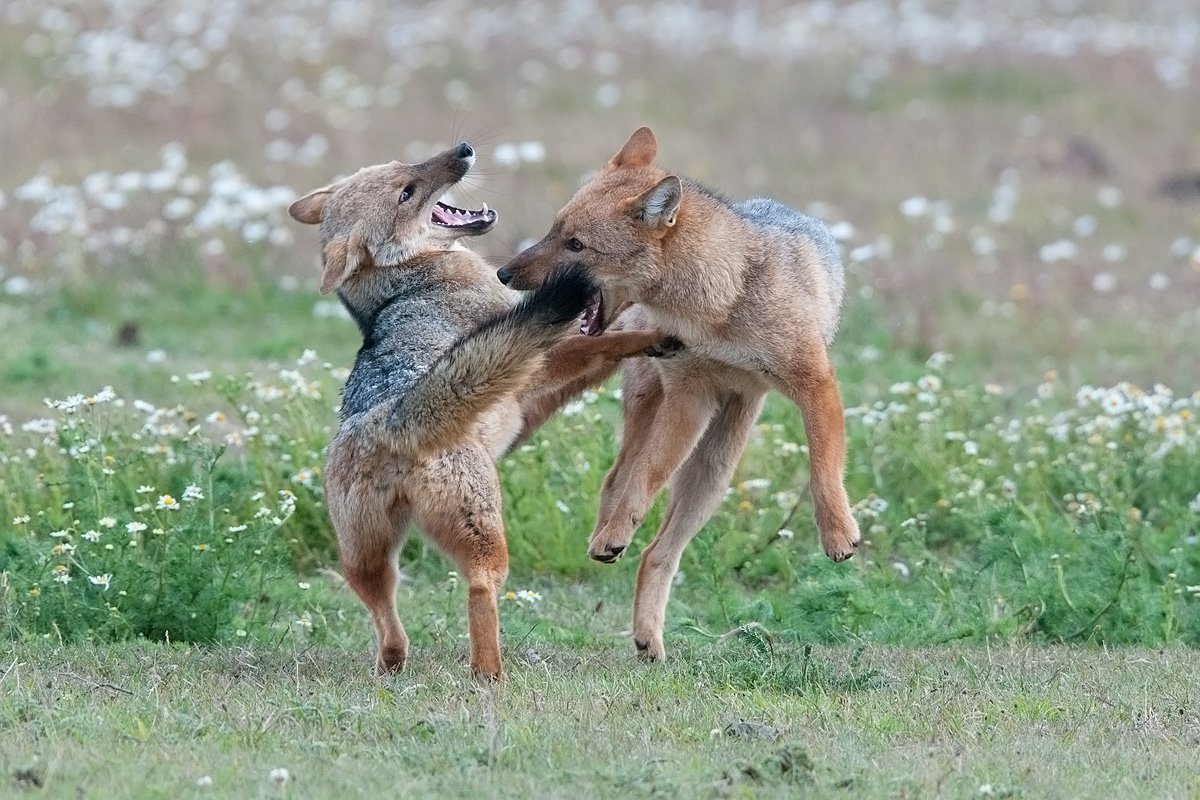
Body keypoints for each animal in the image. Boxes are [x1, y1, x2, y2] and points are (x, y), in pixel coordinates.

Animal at [289, 143, 670, 679]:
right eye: (406, 192)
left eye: (403, 167)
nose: (463, 149)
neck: (401, 285)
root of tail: (389, 421)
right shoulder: (538, 350)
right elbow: (607, 341)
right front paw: (655, 335)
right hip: (485, 533)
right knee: (479, 589)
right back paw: (491, 674)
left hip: (365, 560)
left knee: (386, 616)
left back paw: (394, 663)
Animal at [497, 126, 860, 661]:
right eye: (553, 231)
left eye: (576, 244)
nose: (503, 273)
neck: (721, 305)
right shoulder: (688, 397)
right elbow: (642, 480)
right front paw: (617, 530)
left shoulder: (814, 382)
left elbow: (824, 468)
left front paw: (837, 533)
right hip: (670, 422)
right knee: (622, 482)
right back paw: (612, 546)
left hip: (715, 467)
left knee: (656, 548)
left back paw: (646, 629)